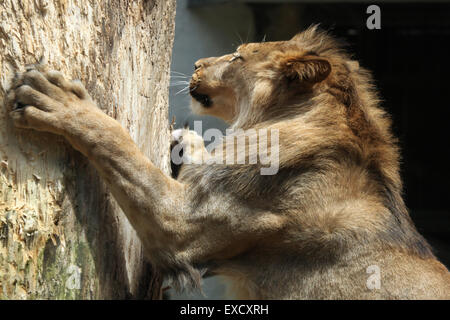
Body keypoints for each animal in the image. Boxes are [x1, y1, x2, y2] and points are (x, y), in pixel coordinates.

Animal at [6, 26, 450, 298]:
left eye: (238, 58)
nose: (198, 63)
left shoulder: (183, 224)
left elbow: (116, 140)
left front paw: (57, 99)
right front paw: (184, 142)